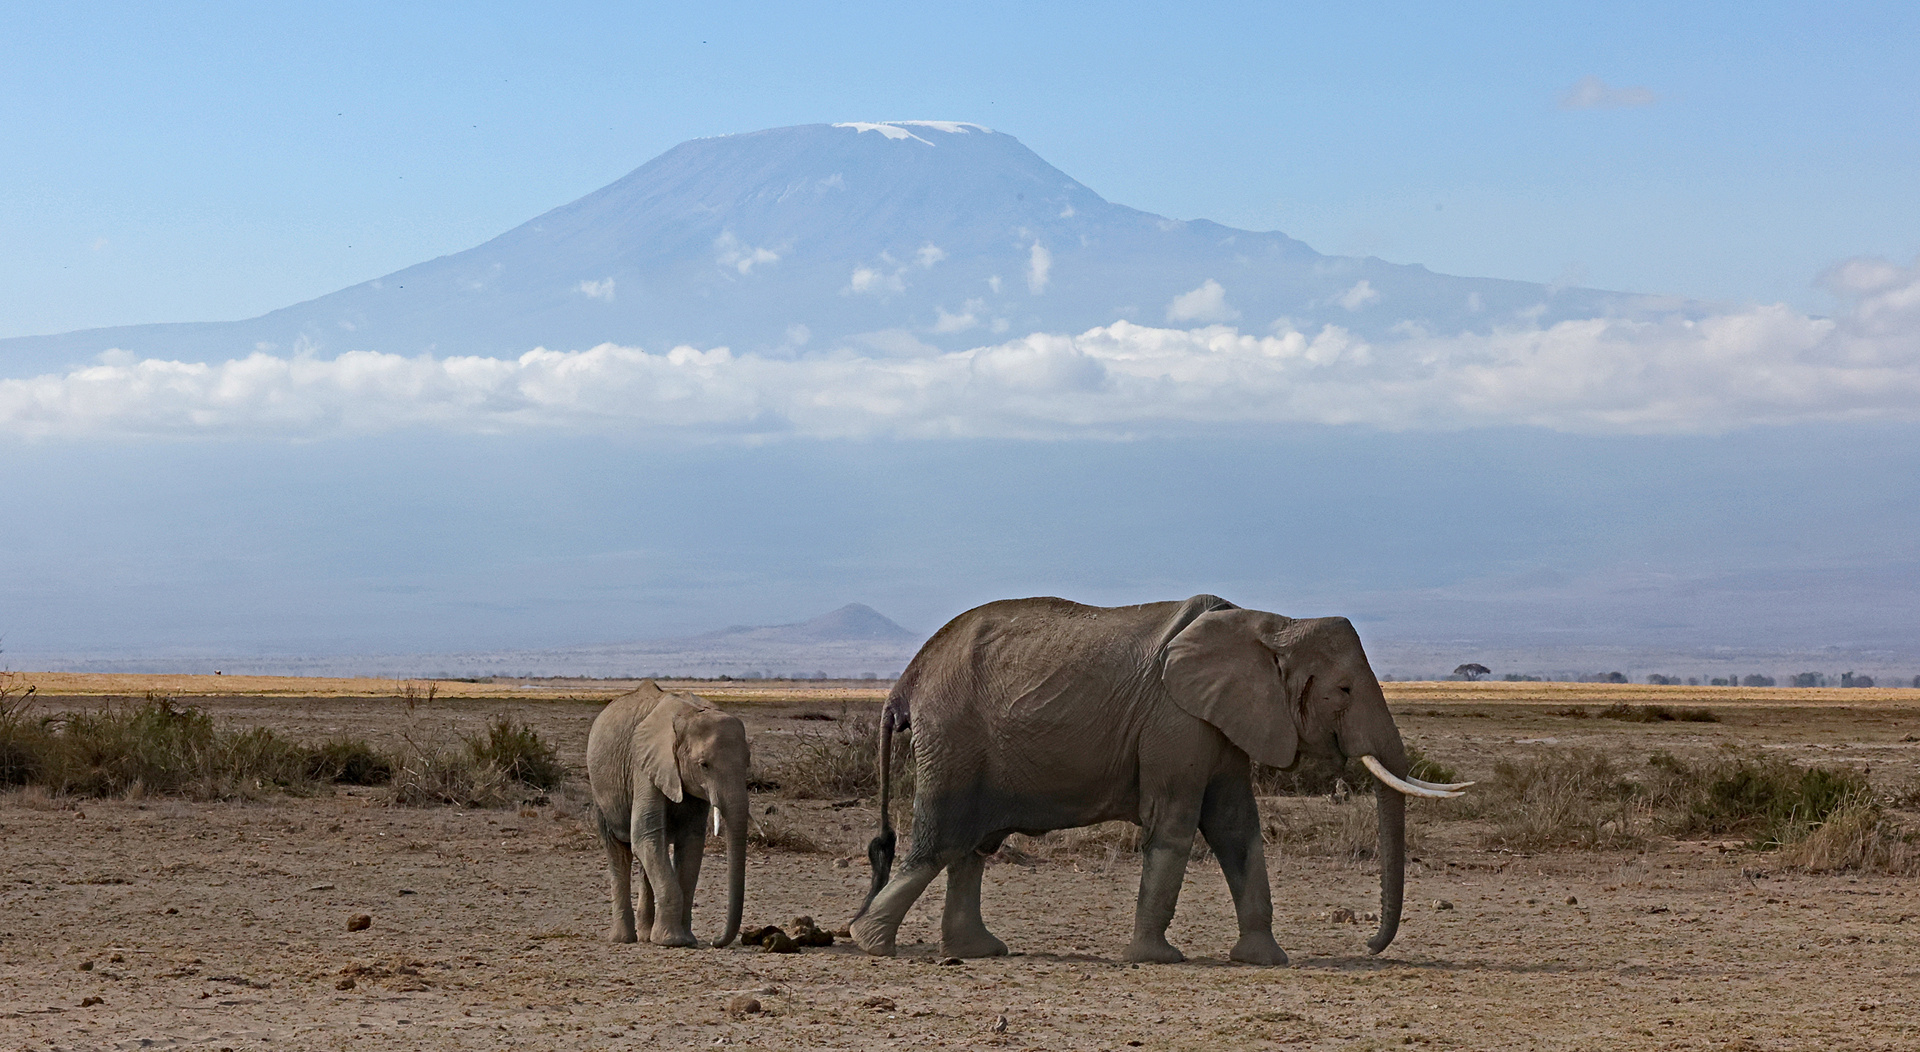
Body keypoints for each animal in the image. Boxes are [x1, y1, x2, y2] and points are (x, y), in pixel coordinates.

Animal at [583, 683, 748, 944]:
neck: (689, 715)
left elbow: (690, 842)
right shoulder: (644, 764)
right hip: (600, 791)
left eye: (747, 762)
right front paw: (672, 941)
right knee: (619, 852)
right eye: (704, 765)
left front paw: (686, 940)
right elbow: (645, 834)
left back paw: (645, 935)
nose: (715, 941)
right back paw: (623, 939)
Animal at [848, 591, 1459, 959]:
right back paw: (871, 942)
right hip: (953, 738)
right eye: (1345, 690)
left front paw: (1265, 960)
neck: (1272, 623)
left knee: (973, 847)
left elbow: (1237, 829)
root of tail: (907, 680)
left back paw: (977, 950)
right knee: (940, 842)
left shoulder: (1221, 721)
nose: (1370, 947)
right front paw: (1156, 959)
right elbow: (1176, 823)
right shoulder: (1176, 719)